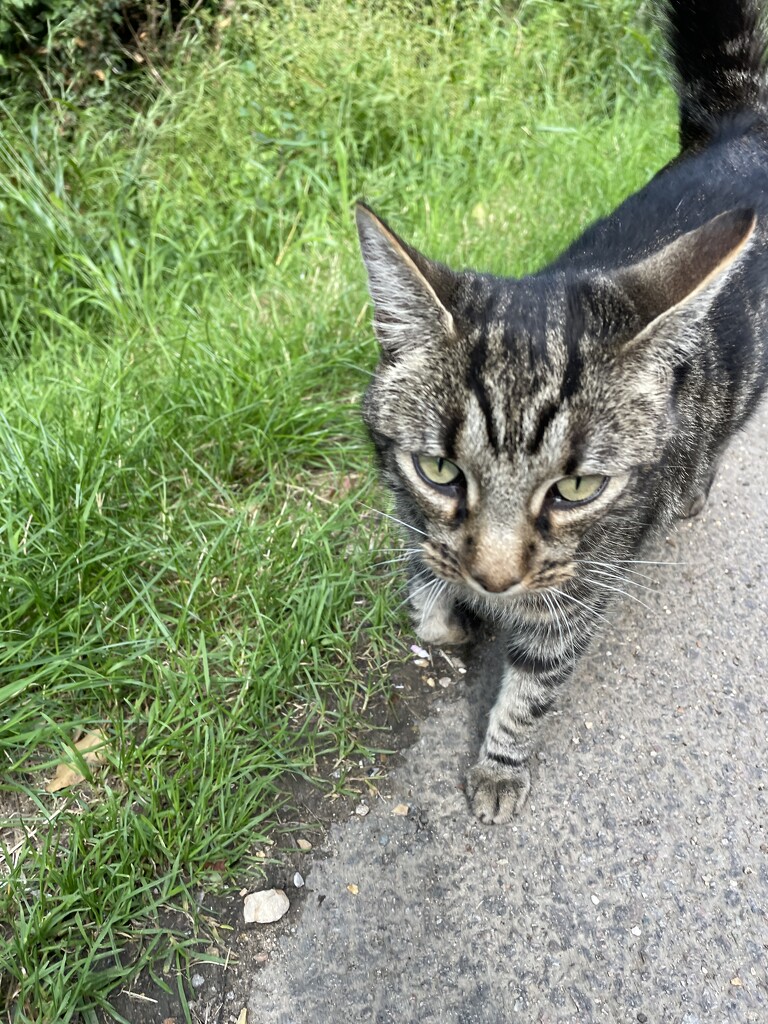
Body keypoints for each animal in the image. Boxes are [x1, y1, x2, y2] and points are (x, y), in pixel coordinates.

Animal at [354, 0, 768, 823]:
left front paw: (498, 767)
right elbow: (424, 572)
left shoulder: (578, 588)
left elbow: (531, 688)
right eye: (440, 470)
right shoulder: (413, 510)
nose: (494, 581)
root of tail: (741, 127)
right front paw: (443, 614)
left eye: (577, 488)